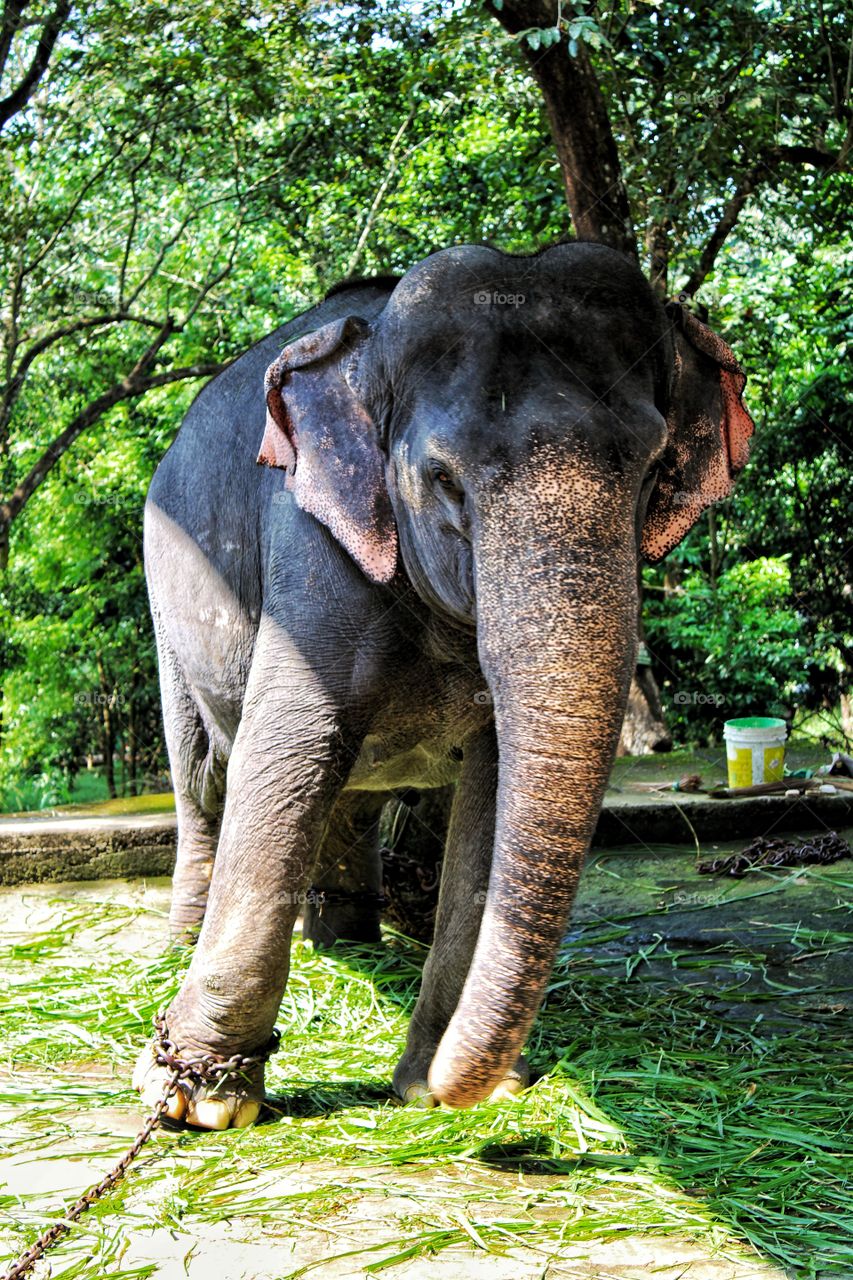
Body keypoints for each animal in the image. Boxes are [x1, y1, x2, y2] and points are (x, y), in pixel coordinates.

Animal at [134, 242, 753, 1129]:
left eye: (650, 471)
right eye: (442, 478)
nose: (474, 1075)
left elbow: (493, 793)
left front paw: (445, 1084)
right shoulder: (312, 544)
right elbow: (287, 752)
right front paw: (194, 1101)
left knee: (350, 789)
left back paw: (348, 940)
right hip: (163, 596)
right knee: (202, 780)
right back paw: (185, 940)